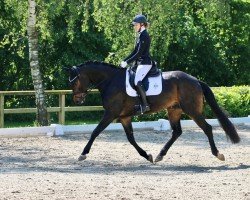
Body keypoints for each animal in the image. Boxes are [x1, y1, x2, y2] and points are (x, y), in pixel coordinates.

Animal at [67, 61, 240, 164]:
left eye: (74, 81)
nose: (77, 100)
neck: (110, 81)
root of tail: (195, 80)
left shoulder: (110, 114)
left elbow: (95, 132)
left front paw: (83, 154)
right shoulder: (124, 117)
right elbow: (131, 139)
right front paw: (147, 155)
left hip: (192, 110)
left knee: (207, 128)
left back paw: (218, 154)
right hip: (174, 110)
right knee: (177, 132)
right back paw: (159, 155)